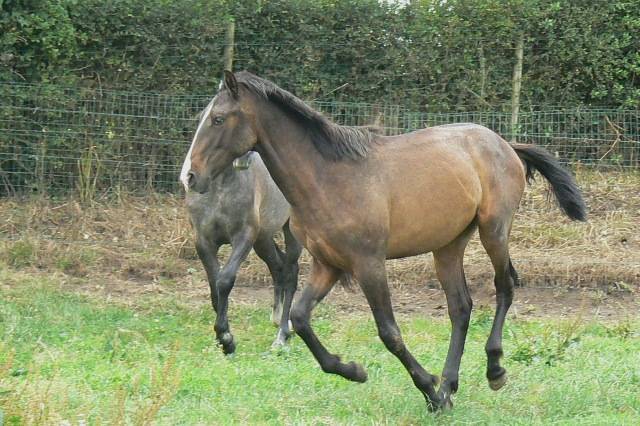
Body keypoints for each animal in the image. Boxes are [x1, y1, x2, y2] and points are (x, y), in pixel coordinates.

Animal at [180, 102, 300, 352]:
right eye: (200, 118)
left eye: (218, 120)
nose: (189, 177)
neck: (219, 189)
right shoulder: (203, 241)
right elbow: (214, 286)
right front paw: (223, 337)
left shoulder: (244, 237)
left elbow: (225, 280)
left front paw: (226, 338)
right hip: (263, 239)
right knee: (278, 266)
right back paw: (277, 319)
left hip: (289, 233)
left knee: (290, 271)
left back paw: (282, 334)